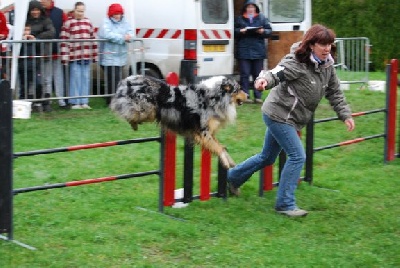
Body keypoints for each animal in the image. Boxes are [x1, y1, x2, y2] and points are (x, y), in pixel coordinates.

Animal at [109, 74, 247, 169]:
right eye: (238, 89)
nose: (248, 95)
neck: (214, 97)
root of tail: (124, 81)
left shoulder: (209, 133)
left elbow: (221, 147)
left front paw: (230, 161)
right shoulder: (202, 132)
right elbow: (218, 148)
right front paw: (226, 162)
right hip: (147, 109)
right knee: (125, 111)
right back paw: (133, 123)